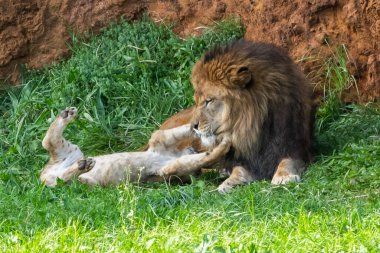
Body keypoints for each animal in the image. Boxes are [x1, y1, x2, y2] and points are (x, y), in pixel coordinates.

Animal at [159, 39, 314, 192]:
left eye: (209, 101)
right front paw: (228, 182)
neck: (251, 127)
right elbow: (238, 170)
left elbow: (287, 162)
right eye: (196, 102)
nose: (193, 126)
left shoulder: (294, 147)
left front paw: (283, 177)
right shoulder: (242, 158)